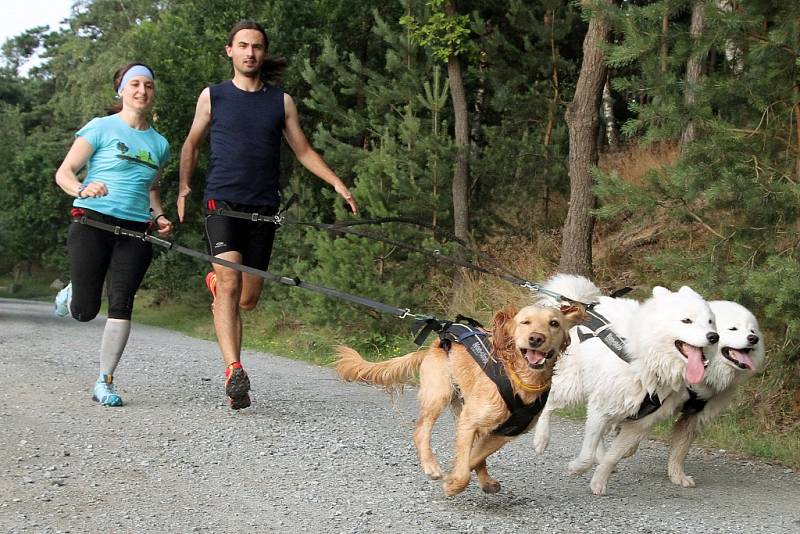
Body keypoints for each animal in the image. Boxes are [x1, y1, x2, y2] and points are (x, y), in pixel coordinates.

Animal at [532, 276, 720, 498]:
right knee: (549, 403)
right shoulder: (602, 407)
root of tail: (581, 305)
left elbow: (612, 456)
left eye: (710, 322)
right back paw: (541, 439)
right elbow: (586, 455)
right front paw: (576, 468)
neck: (646, 360)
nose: (713, 337)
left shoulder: (639, 424)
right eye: (686, 321)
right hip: (573, 385)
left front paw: (599, 481)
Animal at [664, 302, 764, 490]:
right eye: (733, 328)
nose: (753, 339)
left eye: (752, 330)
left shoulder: (694, 417)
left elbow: (680, 451)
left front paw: (678, 476)